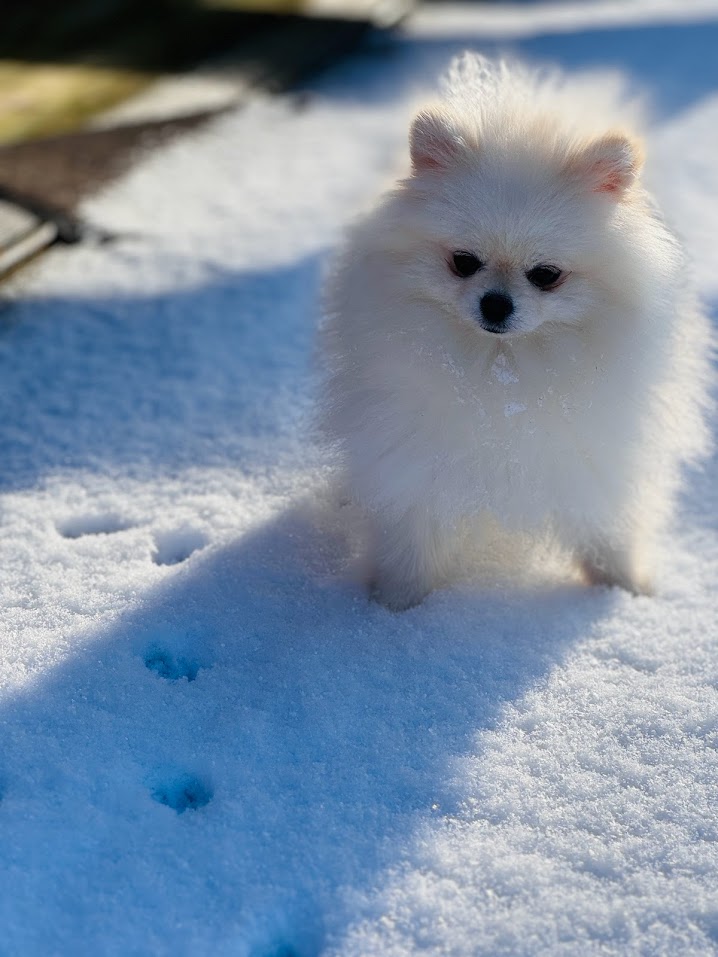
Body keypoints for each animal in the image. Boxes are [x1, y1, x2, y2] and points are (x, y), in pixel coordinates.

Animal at [322, 52, 716, 608]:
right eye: (463, 262)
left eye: (545, 275)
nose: (495, 303)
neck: (504, 374)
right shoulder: (416, 460)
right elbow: (411, 539)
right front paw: (397, 608)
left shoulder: (595, 458)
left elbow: (607, 531)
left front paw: (624, 595)